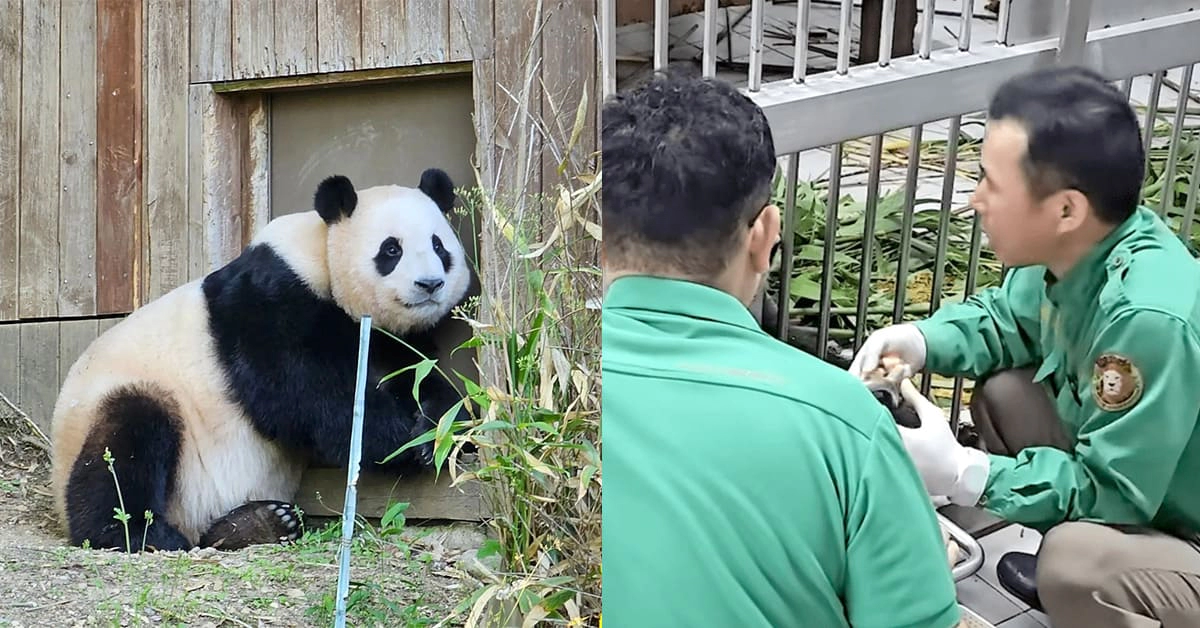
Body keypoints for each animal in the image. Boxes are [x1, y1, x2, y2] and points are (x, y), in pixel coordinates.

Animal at [50, 168, 472, 554]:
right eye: (391, 250)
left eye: (439, 247)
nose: (430, 284)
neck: (319, 254)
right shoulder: (268, 300)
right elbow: (305, 392)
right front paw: (402, 442)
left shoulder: (384, 337)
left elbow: (413, 374)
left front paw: (439, 428)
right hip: (120, 400)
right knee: (126, 443)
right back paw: (140, 533)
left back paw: (258, 522)